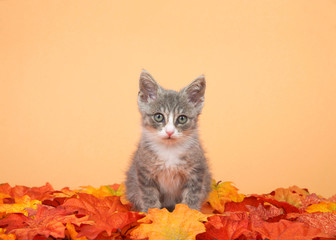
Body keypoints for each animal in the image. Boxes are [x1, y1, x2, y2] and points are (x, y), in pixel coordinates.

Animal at [124, 70, 211, 212]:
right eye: (158, 116)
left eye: (182, 118)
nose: (169, 131)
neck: (169, 150)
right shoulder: (144, 171)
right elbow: (149, 195)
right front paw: (151, 212)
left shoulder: (197, 170)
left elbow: (192, 195)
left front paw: (189, 212)